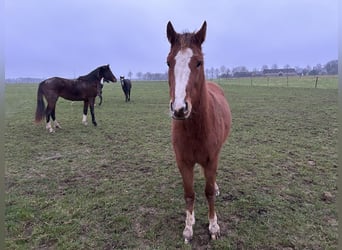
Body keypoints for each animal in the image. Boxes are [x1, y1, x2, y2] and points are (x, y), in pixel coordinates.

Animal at [166, 21, 232, 242]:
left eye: (199, 63)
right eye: (168, 63)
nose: (179, 108)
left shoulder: (211, 159)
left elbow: (209, 192)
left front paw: (213, 226)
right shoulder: (183, 161)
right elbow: (189, 194)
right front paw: (188, 227)